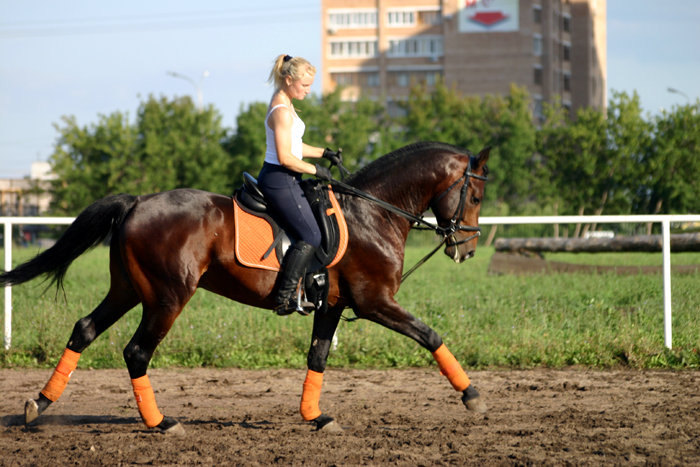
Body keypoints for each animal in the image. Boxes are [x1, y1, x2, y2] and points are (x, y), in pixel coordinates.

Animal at [0, 140, 490, 436]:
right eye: (476, 197)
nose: (466, 249)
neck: (373, 213)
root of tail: (137, 202)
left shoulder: (333, 306)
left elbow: (317, 358)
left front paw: (315, 416)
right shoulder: (375, 302)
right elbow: (431, 335)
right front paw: (471, 395)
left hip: (128, 290)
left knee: (84, 329)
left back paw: (38, 405)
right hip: (167, 297)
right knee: (136, 352)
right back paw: (161, 423)